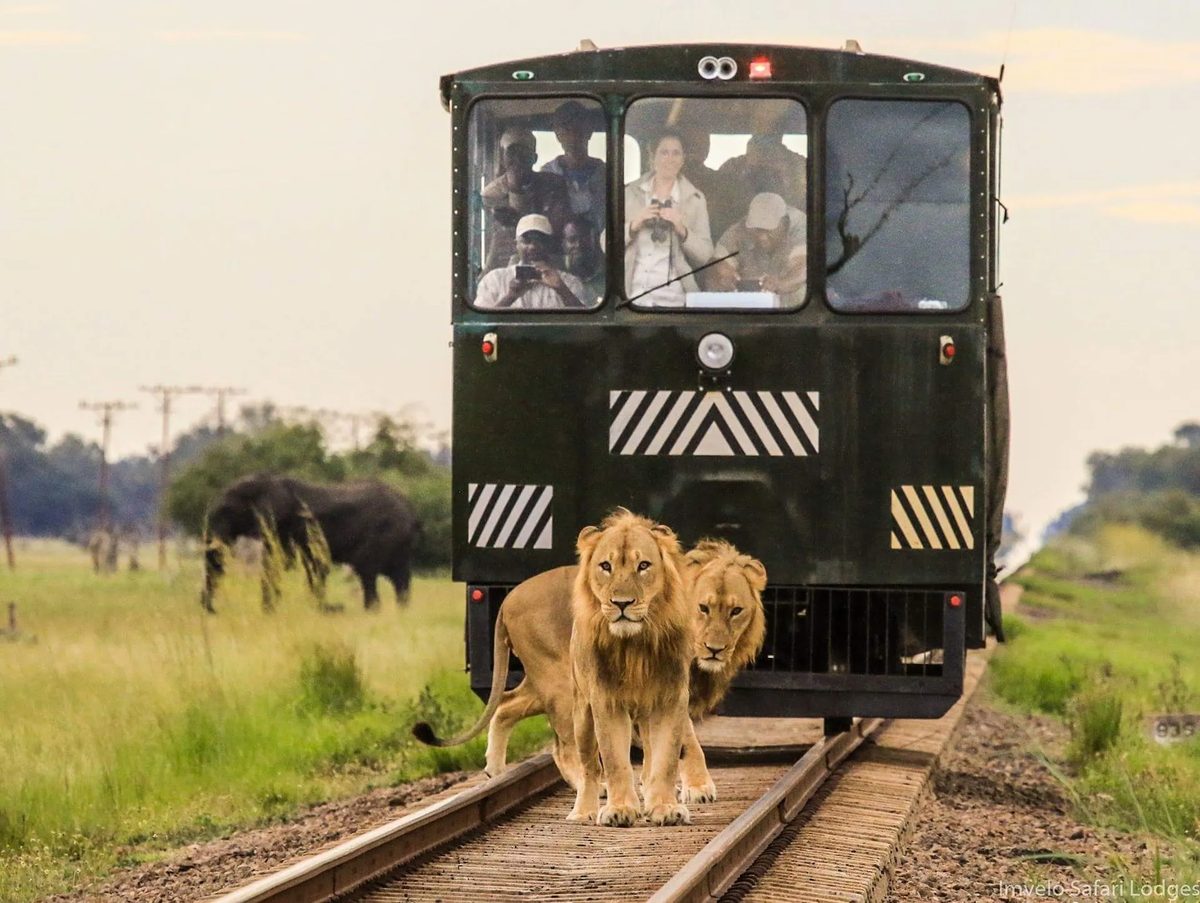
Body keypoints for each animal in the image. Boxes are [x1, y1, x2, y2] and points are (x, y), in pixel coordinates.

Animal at [200, 473, 421, 613]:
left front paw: (269, 612)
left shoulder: (284, 523)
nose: (211, 609)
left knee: (367, 571)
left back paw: (370, 612)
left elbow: (283, 563)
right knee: (399, 578)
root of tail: (411, 510)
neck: (265, 481)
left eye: (226, 511)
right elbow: (303, 565)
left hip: (385, 533)